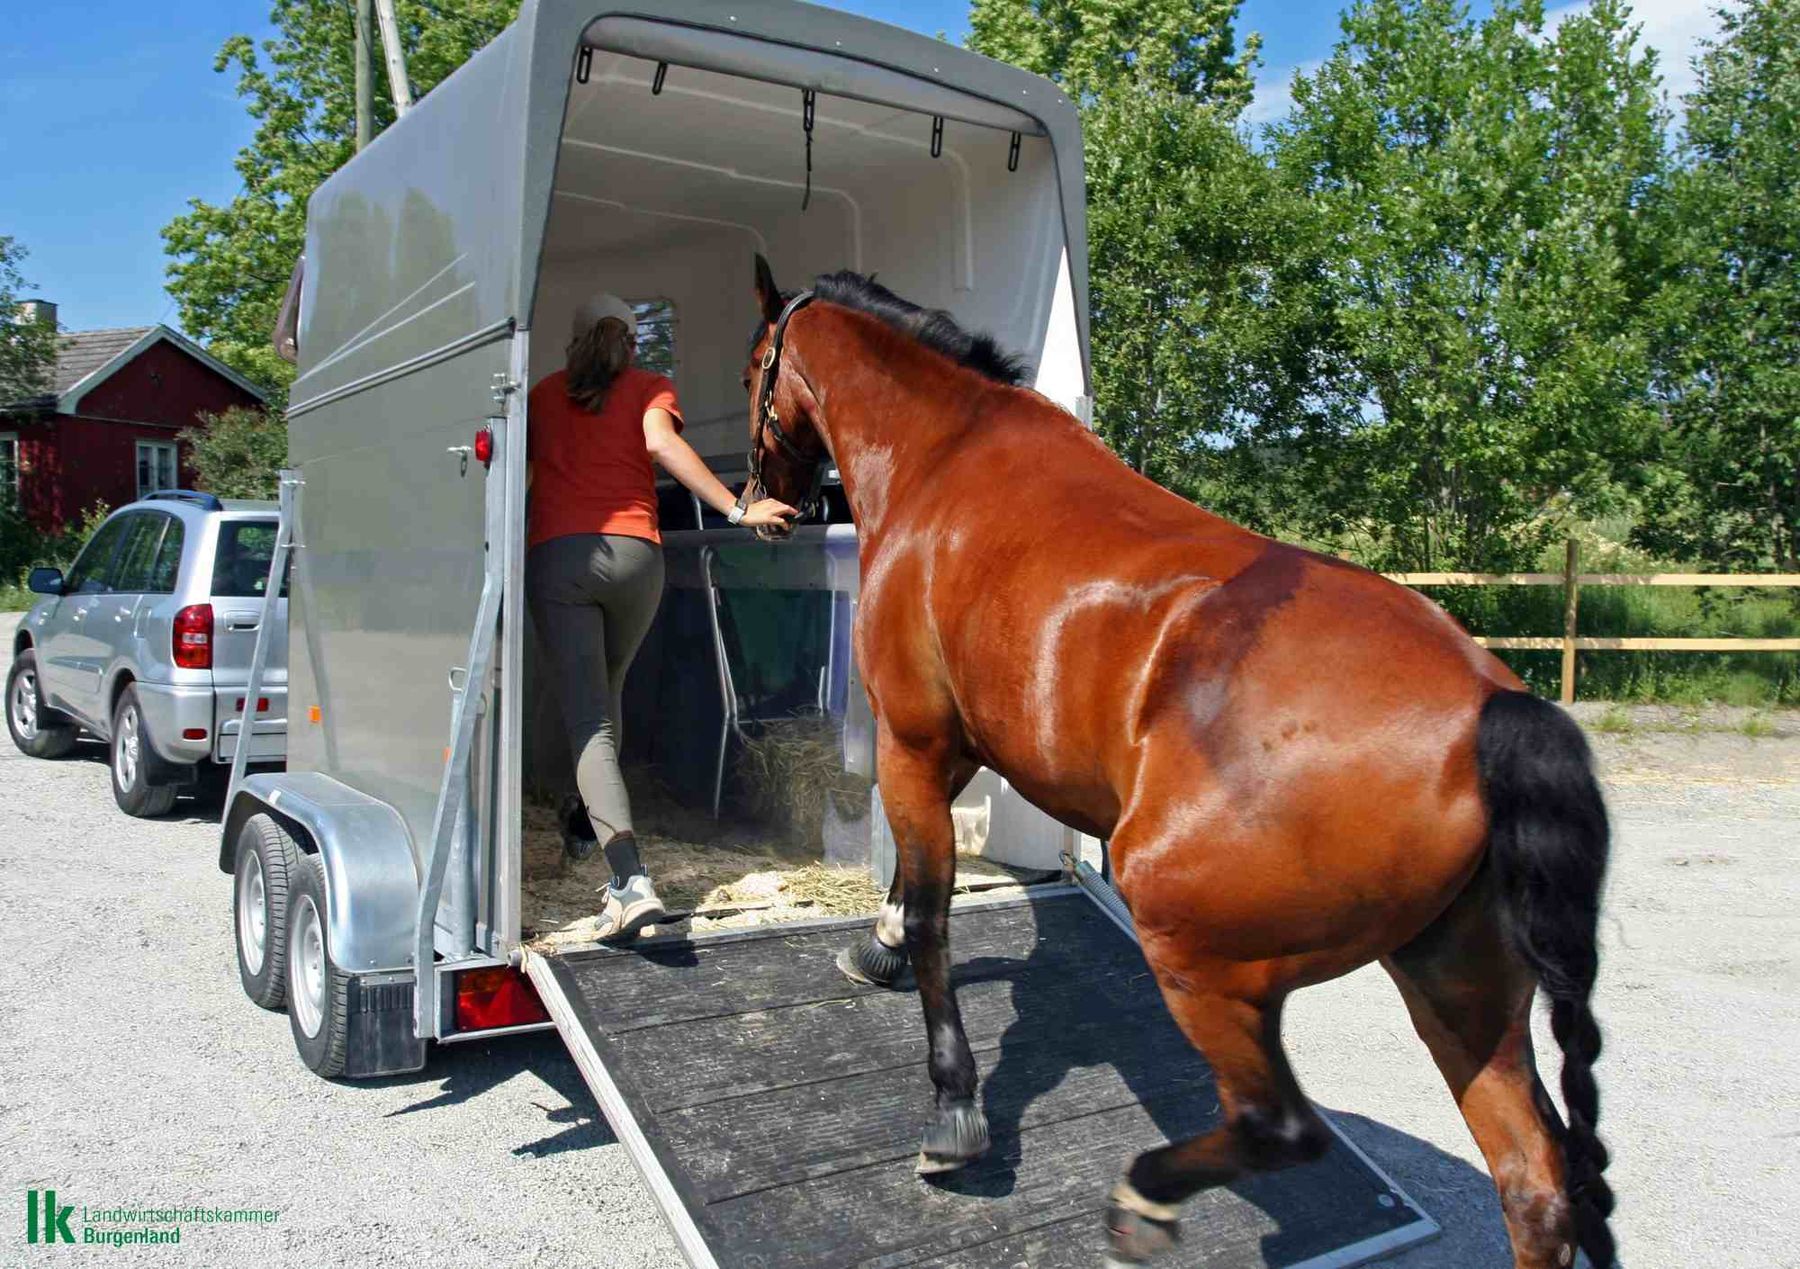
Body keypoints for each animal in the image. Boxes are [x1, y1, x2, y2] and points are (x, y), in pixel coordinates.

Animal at [737, 254, 1614, 1269]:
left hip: (1202, 954)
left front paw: (955, 1106)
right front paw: (872, 948)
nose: (760, 503)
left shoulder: (913, 739)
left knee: (1282, 1126)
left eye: (755, 364)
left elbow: (930, 913)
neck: (947, 457)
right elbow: (911, 899)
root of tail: (1494, 709)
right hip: (1459, 989)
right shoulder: (956, 743)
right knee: (1535, 1186)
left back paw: (1144, 1195)